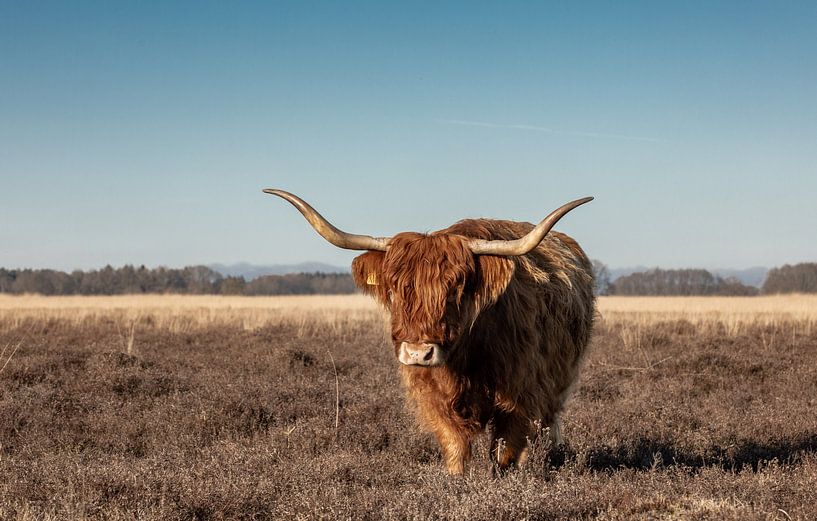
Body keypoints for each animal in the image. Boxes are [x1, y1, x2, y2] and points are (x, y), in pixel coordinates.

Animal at [264, 189, 595, 475]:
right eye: (395, 289)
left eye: (456, 288)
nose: (418, 353)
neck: (466, 361)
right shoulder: (433, 397)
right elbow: (456, 449)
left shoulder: (521, 397)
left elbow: (506, 454)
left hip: (558, 384)